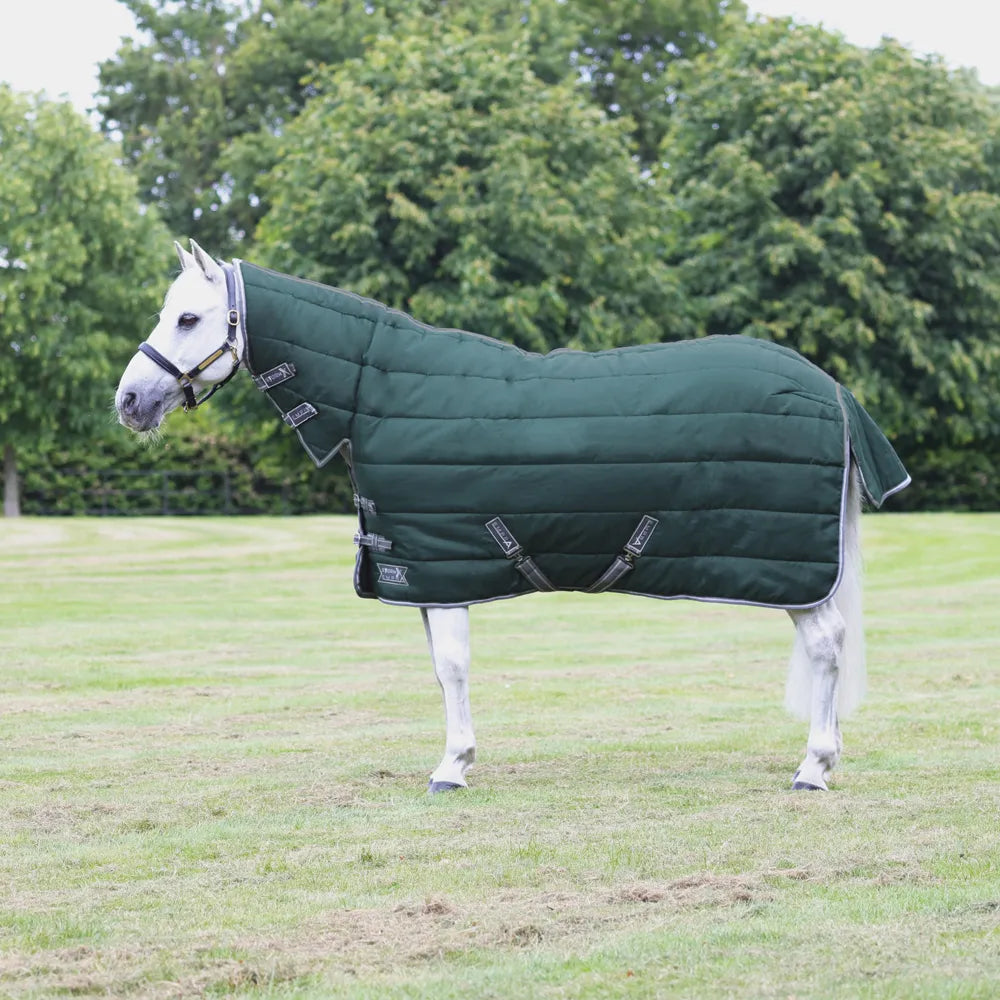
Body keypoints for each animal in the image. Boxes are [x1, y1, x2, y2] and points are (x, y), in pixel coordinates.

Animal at [115, 240, 910, 793]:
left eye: (188, 317)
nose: (129, 401)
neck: (377, 391)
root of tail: (830, 388)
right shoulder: (425, 573)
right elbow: (440, 671)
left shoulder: (444, 568)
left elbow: (453, 667)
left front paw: (452, 766)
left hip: (794, 573)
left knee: (827, 648)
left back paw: (813, 767)